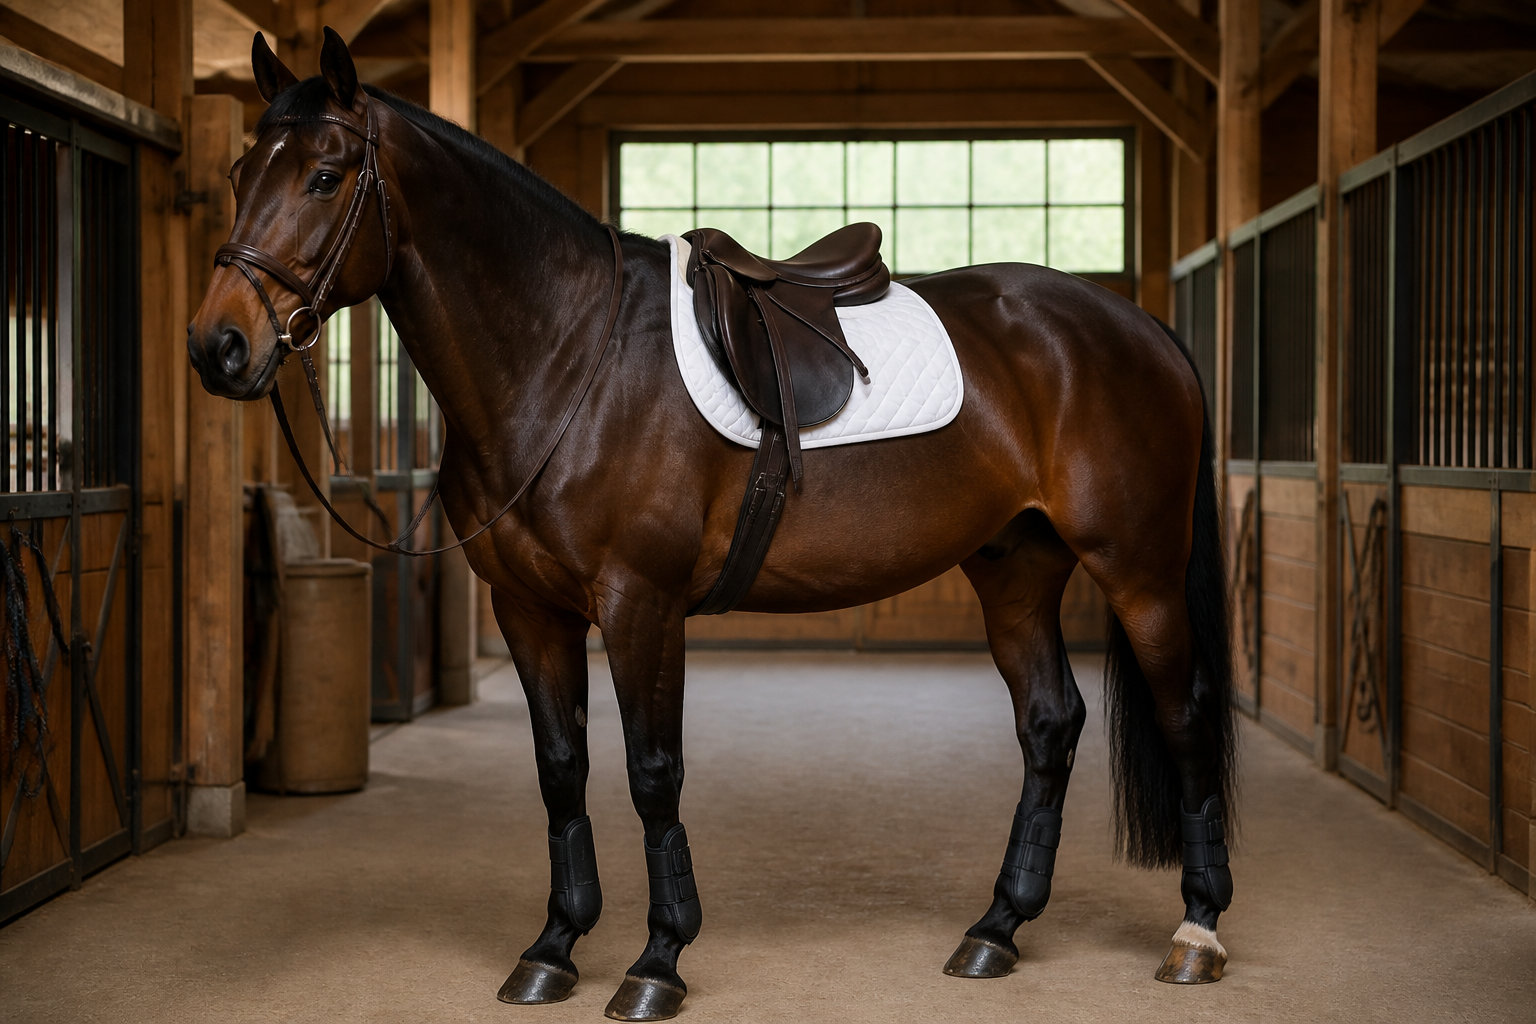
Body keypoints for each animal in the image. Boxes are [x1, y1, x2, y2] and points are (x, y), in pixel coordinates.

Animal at [187, 29, 1238, 1022]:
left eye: (325, 175)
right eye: (241, 175)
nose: (218, 346)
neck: (569, 356)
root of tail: (1135, 325)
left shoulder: (641, 606)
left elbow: (653, 773)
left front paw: (658, 961)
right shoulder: (531, 610)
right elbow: (561, 770)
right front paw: (555, 946)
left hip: (1139, 572)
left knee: (1184, 715)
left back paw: (1196, 931)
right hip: (1014, 569)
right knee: (1049, 724)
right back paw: (998, 929)